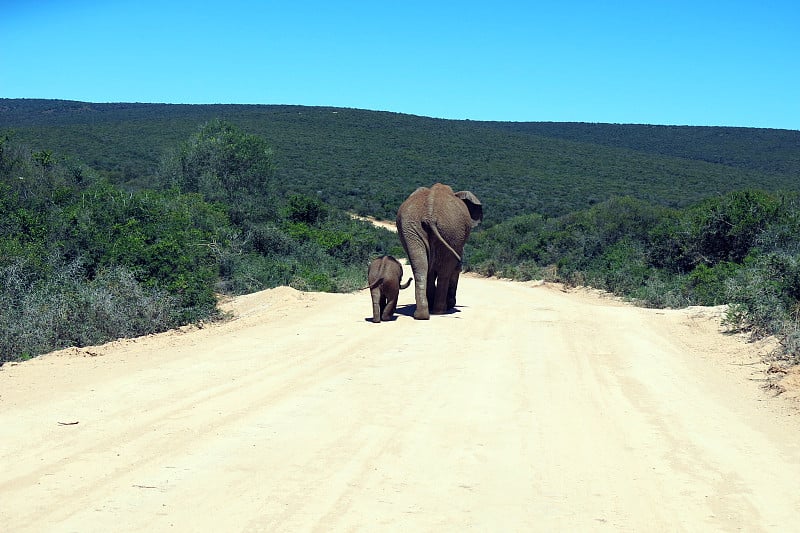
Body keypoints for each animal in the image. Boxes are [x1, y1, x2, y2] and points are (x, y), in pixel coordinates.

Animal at [394, 183, 482, 318]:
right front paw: (450, 304)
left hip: (411, 227)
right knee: (444, 272)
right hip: (452, 231)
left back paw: (422, 315)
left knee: (420, 267)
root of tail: (429, 216)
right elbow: (455, 268)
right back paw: (439, 310)